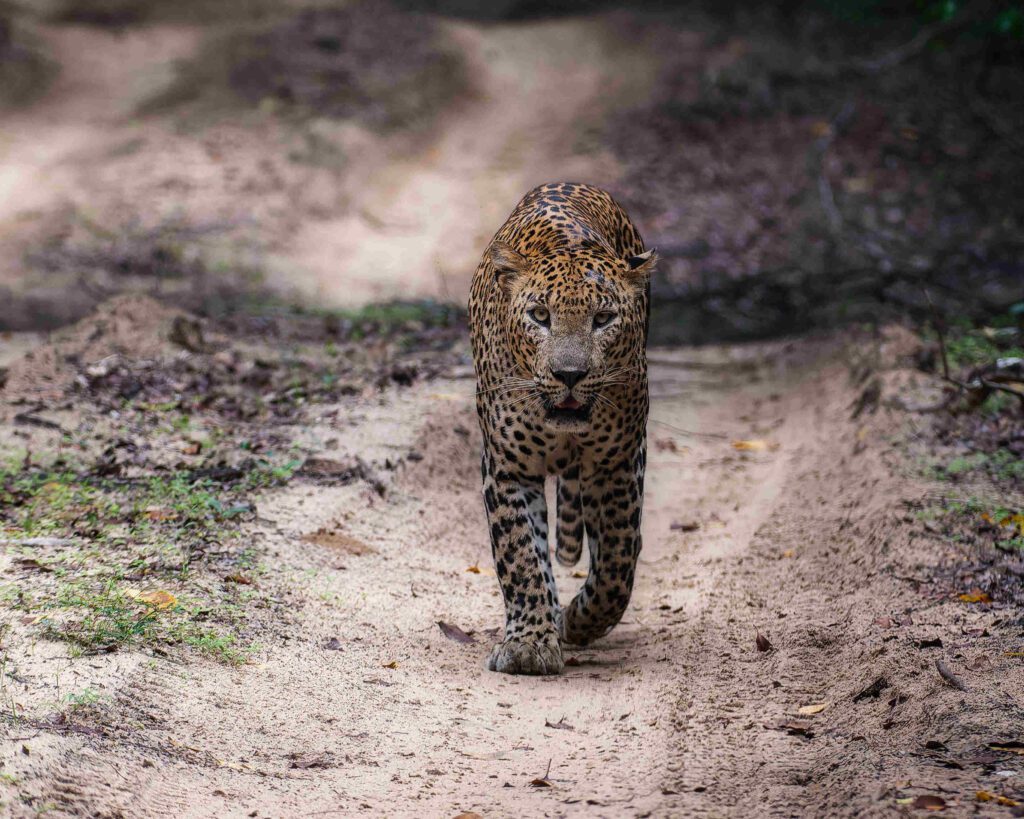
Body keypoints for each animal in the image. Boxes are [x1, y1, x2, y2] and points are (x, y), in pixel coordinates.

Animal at [468, 182, 655, 675]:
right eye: (539, 315)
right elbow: (519, 554)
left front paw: (579, 621)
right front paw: (528, 644)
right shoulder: (507, 466)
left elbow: (617, 564)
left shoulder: (617, 464)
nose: (569, 374)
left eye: (604, 319)